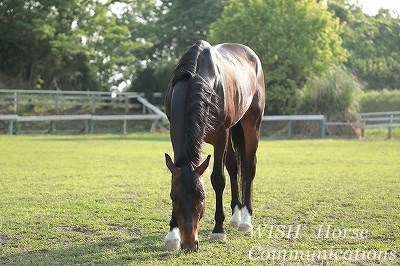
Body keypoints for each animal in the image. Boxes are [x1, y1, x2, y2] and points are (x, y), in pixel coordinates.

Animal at [164, 39, 264, 251]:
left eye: (202, 198)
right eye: (173, 197)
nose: (189, 244)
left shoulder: (221, 136)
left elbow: (218, 179)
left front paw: (219, 228)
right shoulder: (174, 133)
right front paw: (172, 234)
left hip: (252, 125)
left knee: (248, 168)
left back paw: (245, 220)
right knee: (234, 167)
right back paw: (235, 217)